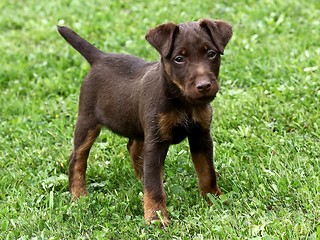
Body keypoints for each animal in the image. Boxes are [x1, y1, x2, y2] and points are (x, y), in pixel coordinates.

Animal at [57, 18, 231, 225]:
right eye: (179, 59)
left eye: (211, 54)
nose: (204, 86)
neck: (181, 101)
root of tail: (99, 57)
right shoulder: (156, 142)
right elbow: (154, 186)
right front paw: (156, 217)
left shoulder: (201, 136)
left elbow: (207, 172)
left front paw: (215, 198)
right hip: (87, 122)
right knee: (77, 158)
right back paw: (79, 195)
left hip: (138, 126)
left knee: (134, 149)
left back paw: (140, 179)